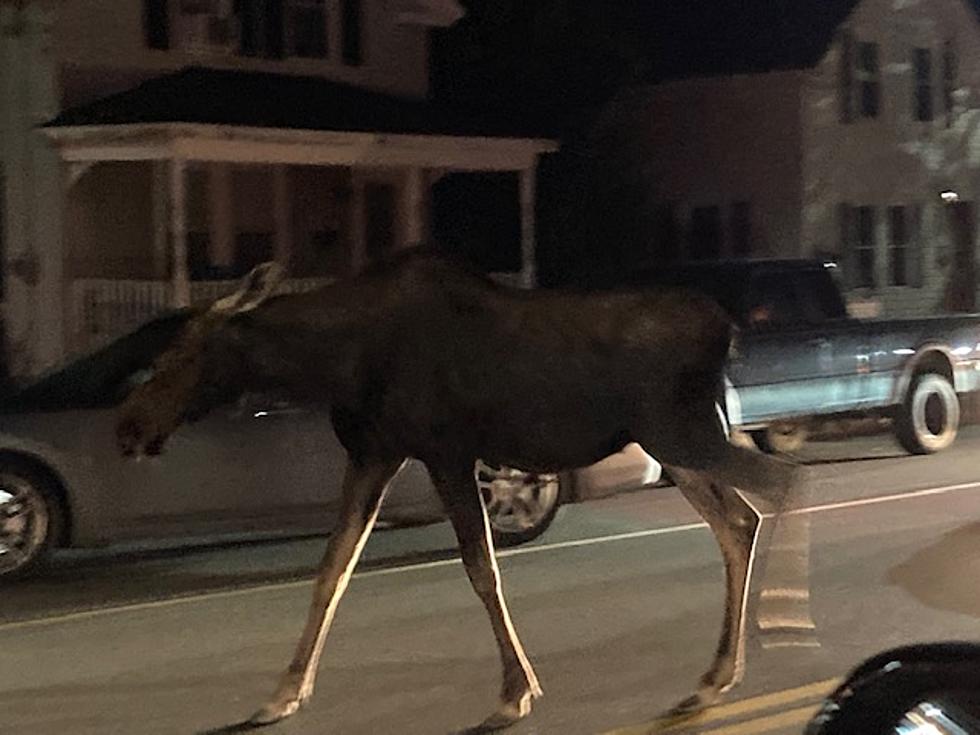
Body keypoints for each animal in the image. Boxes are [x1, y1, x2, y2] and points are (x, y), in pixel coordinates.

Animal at [117, 250, 804, 732]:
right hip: (677, 445)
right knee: (739, 521)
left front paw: (514, 692)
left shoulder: (446, 451)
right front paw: (284, 693)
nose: (127, 426)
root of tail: (729, 331)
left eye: (181, 354)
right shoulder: (373, 454)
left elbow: (480, 568)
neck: (331, 362)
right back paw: (715, 675)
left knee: (780, 483)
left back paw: (785, 622)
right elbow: (332, 568)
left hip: (680, 434)